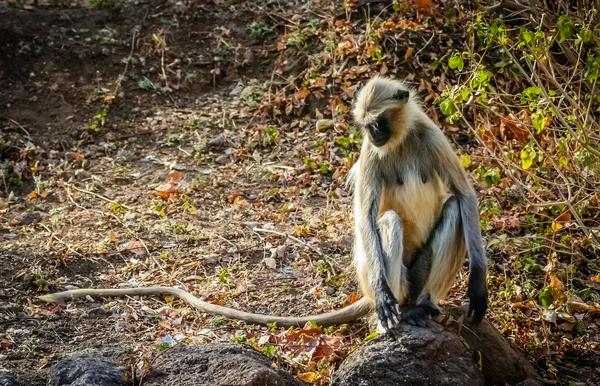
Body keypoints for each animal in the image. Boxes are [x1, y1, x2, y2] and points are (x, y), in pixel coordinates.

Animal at [352, 76, 488, 332]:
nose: (373, 134)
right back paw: (400, 313)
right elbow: (366, 218)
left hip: (418, 276)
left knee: (454, 209)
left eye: (378, 123)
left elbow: (465, 195)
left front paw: (478, 282)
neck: (401, 140)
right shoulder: (369, 150)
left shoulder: (432, 135)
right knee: (390, 221)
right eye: (367, 125)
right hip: (383, 280)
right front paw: (383, 293)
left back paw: (425, 304)